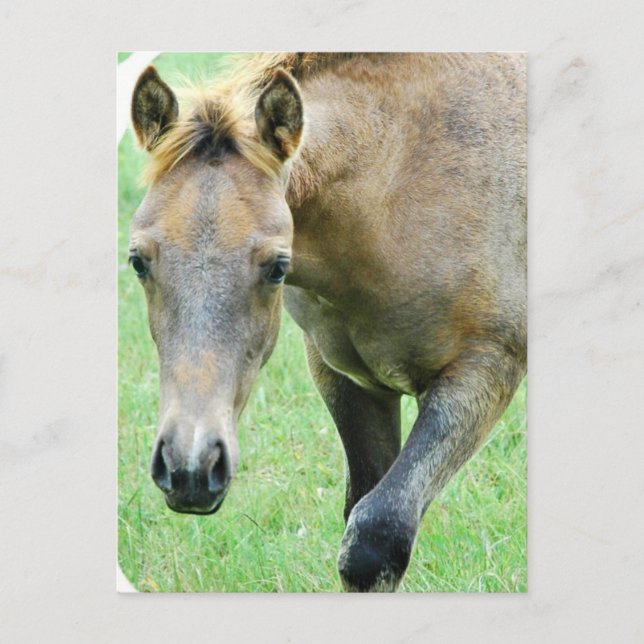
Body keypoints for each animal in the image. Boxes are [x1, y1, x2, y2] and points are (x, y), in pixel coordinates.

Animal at [128, 52, 526, 592]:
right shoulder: (346, 378)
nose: (191, 467)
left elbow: (377, 533)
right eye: (138, 261)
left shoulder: (485, 369)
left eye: (278, 266)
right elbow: (359, 508)